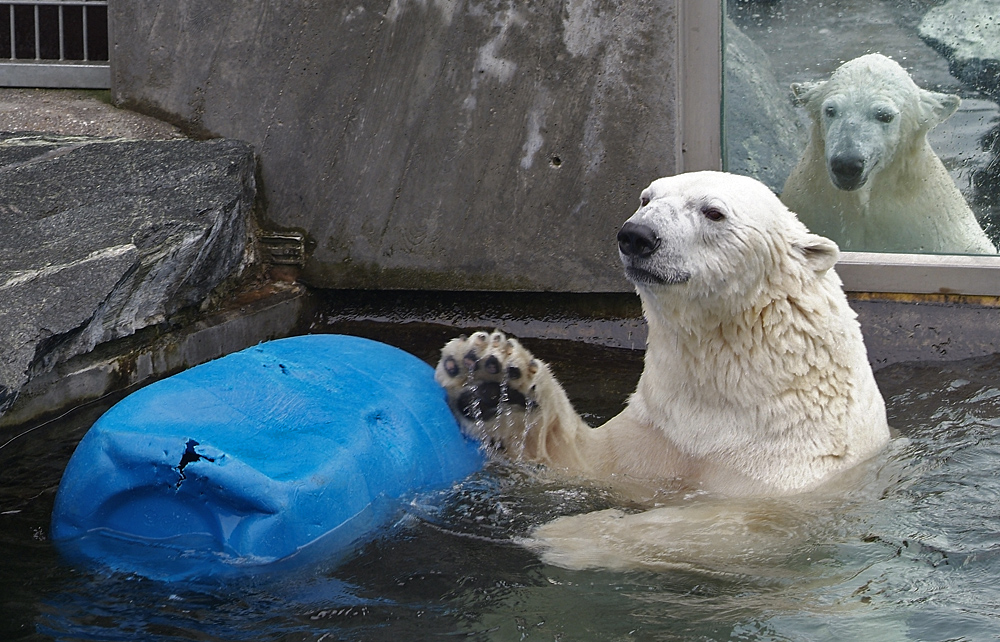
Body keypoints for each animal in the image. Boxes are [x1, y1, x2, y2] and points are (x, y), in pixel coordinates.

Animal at [434, 171, 888, 568]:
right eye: (645, 198)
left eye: (713, 212)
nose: (636, 235)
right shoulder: (662, 429)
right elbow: (587, 460)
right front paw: (491, 378)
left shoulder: (796, 471)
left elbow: (739, 524)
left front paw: (569, 535)